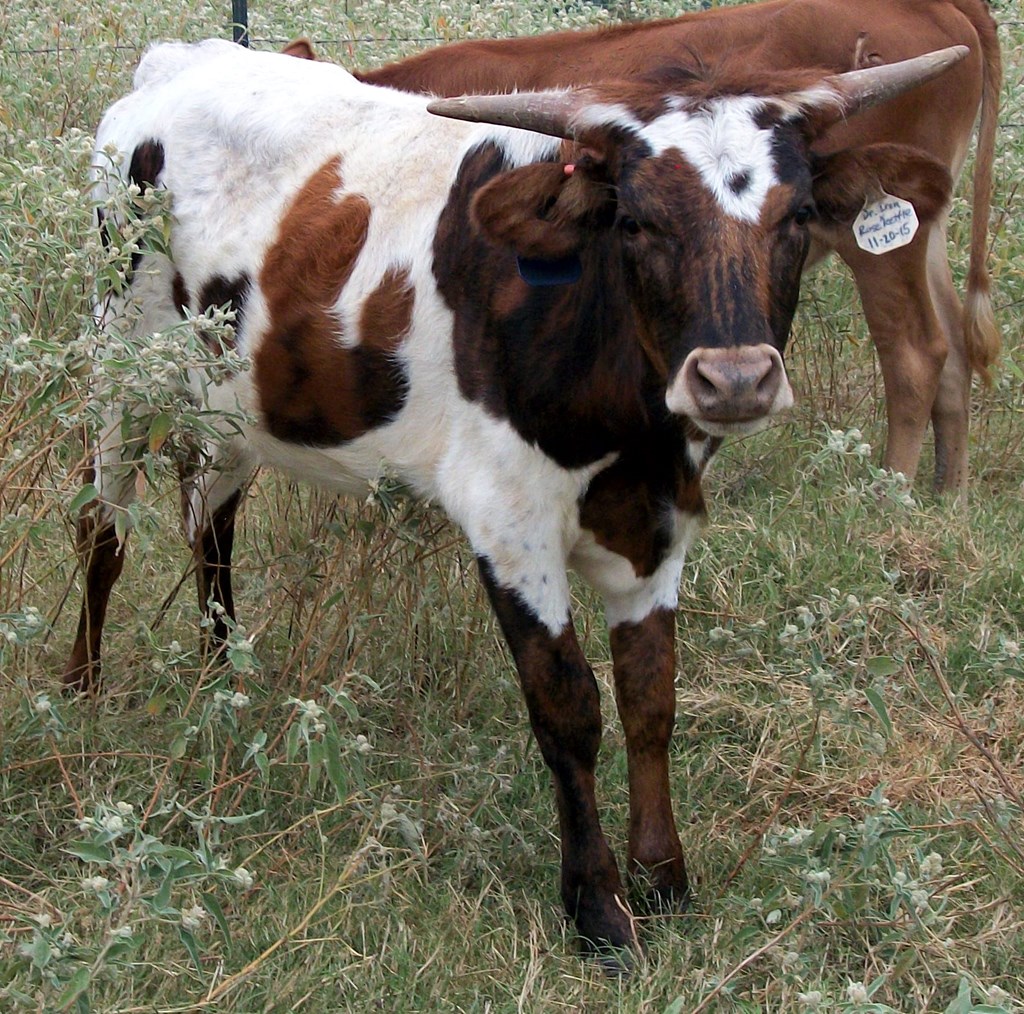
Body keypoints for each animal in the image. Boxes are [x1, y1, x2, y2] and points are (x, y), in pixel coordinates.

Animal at [67, 39, 963, 964]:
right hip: (115, 362)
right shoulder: (509, 519)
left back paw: (222, 687)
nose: (736, 378)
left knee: (208, 523)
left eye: (798, 218)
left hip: (233, 403)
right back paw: (83, 691)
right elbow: (569, 708)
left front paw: (664, 878)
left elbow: (651, 697)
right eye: (635, 222)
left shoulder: (660, 523)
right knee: (103, 527)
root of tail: (188, 55)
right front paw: (599, 908)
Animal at [340, 0, 1002, 494]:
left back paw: (890, 494)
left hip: (878, 246)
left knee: (916, 353)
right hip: (923, 224)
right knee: (953, 351)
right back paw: (947, 498)